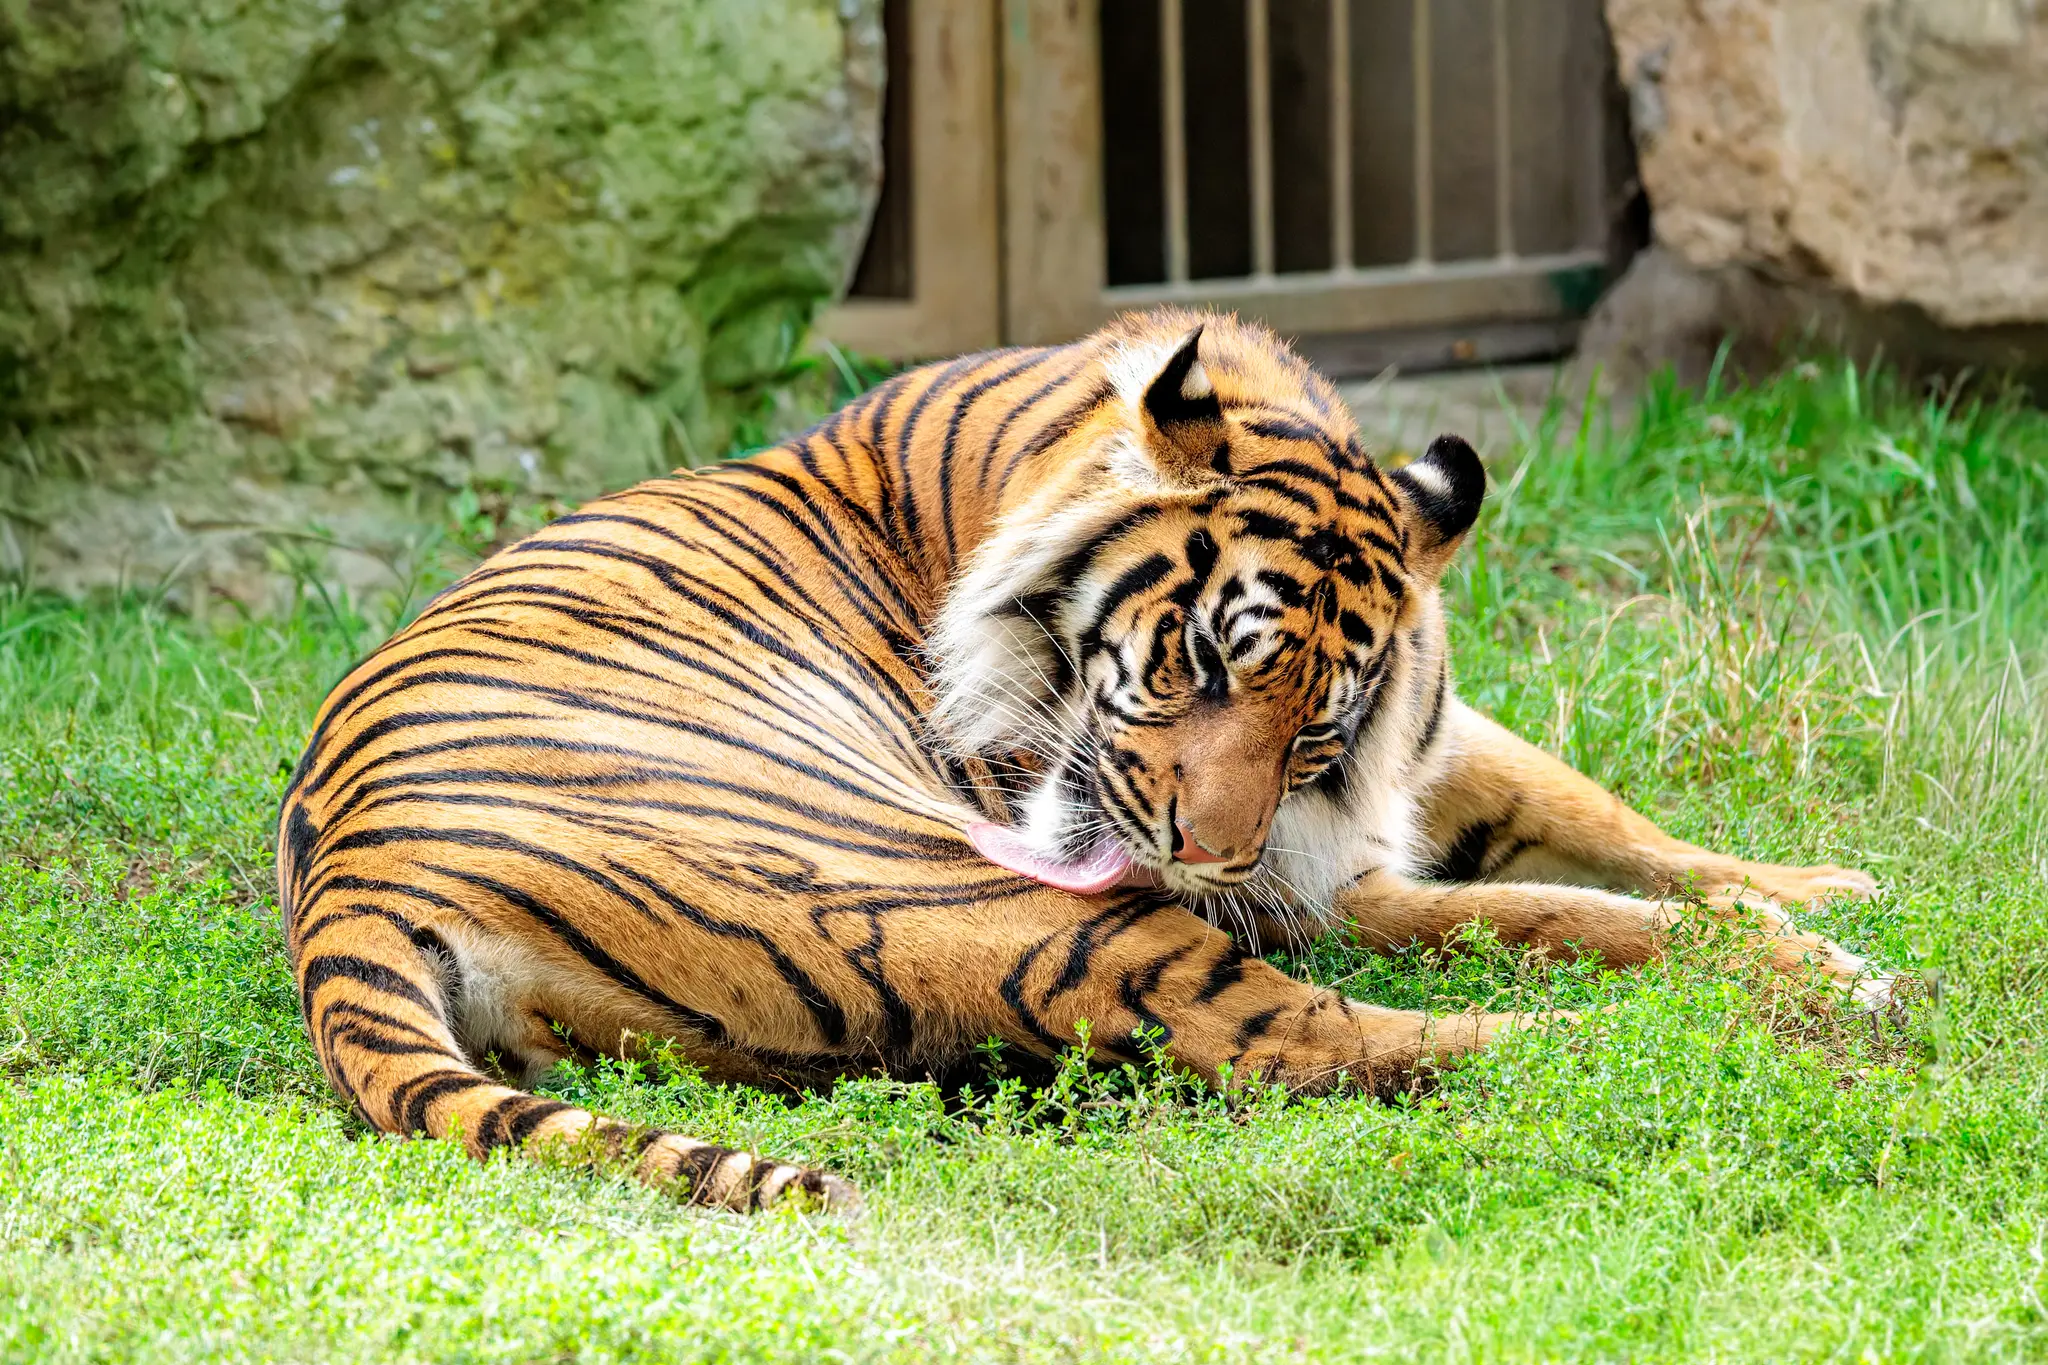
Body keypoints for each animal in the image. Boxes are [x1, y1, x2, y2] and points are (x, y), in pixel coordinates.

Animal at [275, 308, 1891, 1212]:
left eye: (1316, 723)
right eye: (1200, 660)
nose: (1206, 852)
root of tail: (349, 885)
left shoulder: (1401, 770)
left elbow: (1597, 824)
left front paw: (1826, 891)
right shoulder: (1310, 893)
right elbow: (1570, 914)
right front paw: (1818, 973)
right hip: (966, 893)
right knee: (1310, 1040)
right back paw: (1707, 1048)